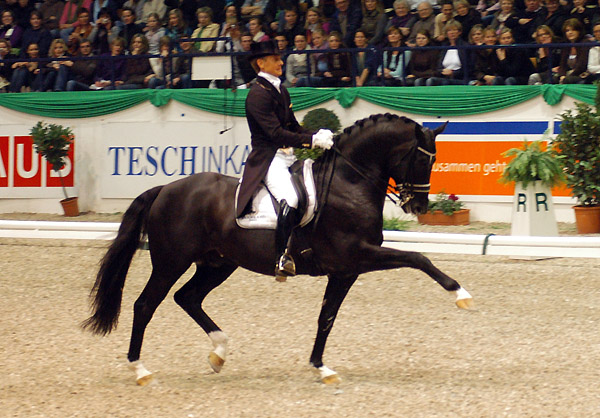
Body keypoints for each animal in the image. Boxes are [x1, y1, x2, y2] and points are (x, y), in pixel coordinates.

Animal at [82, 113, 474, 386]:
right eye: (423, 159)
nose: (419, 206)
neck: (349, 182)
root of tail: (165, 189)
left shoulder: (345, 271)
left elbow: (326, 318)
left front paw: (321, 368)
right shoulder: (356, 255)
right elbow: (417, 257)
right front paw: (460, 294)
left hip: (218, 263)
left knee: (188, 298)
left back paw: (219, 353)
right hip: (171, 261)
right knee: (145, 305)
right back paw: (141, 370)